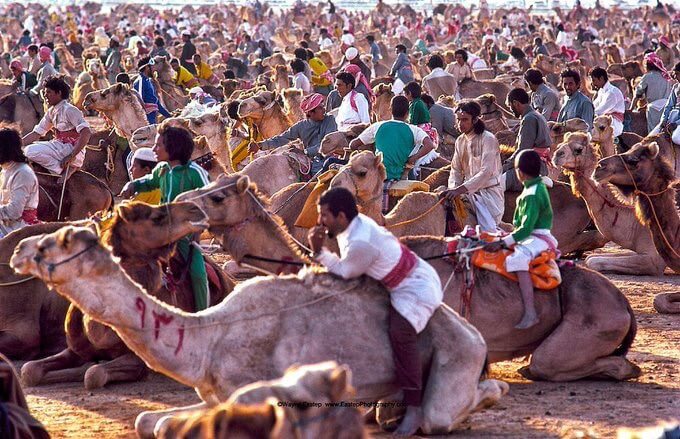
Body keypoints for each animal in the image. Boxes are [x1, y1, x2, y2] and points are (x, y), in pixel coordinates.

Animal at [21, 201, 234, 390]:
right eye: (156, 217)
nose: (195, 208)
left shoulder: (138, 360)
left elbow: (94, 374)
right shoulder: (74, 350)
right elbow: (29, 370)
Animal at [553, 132, 666, 275]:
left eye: (578, 149)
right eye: (559, 145)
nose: (557, 155)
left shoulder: (653, 260)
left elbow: (592, 262)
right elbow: (590, 258)